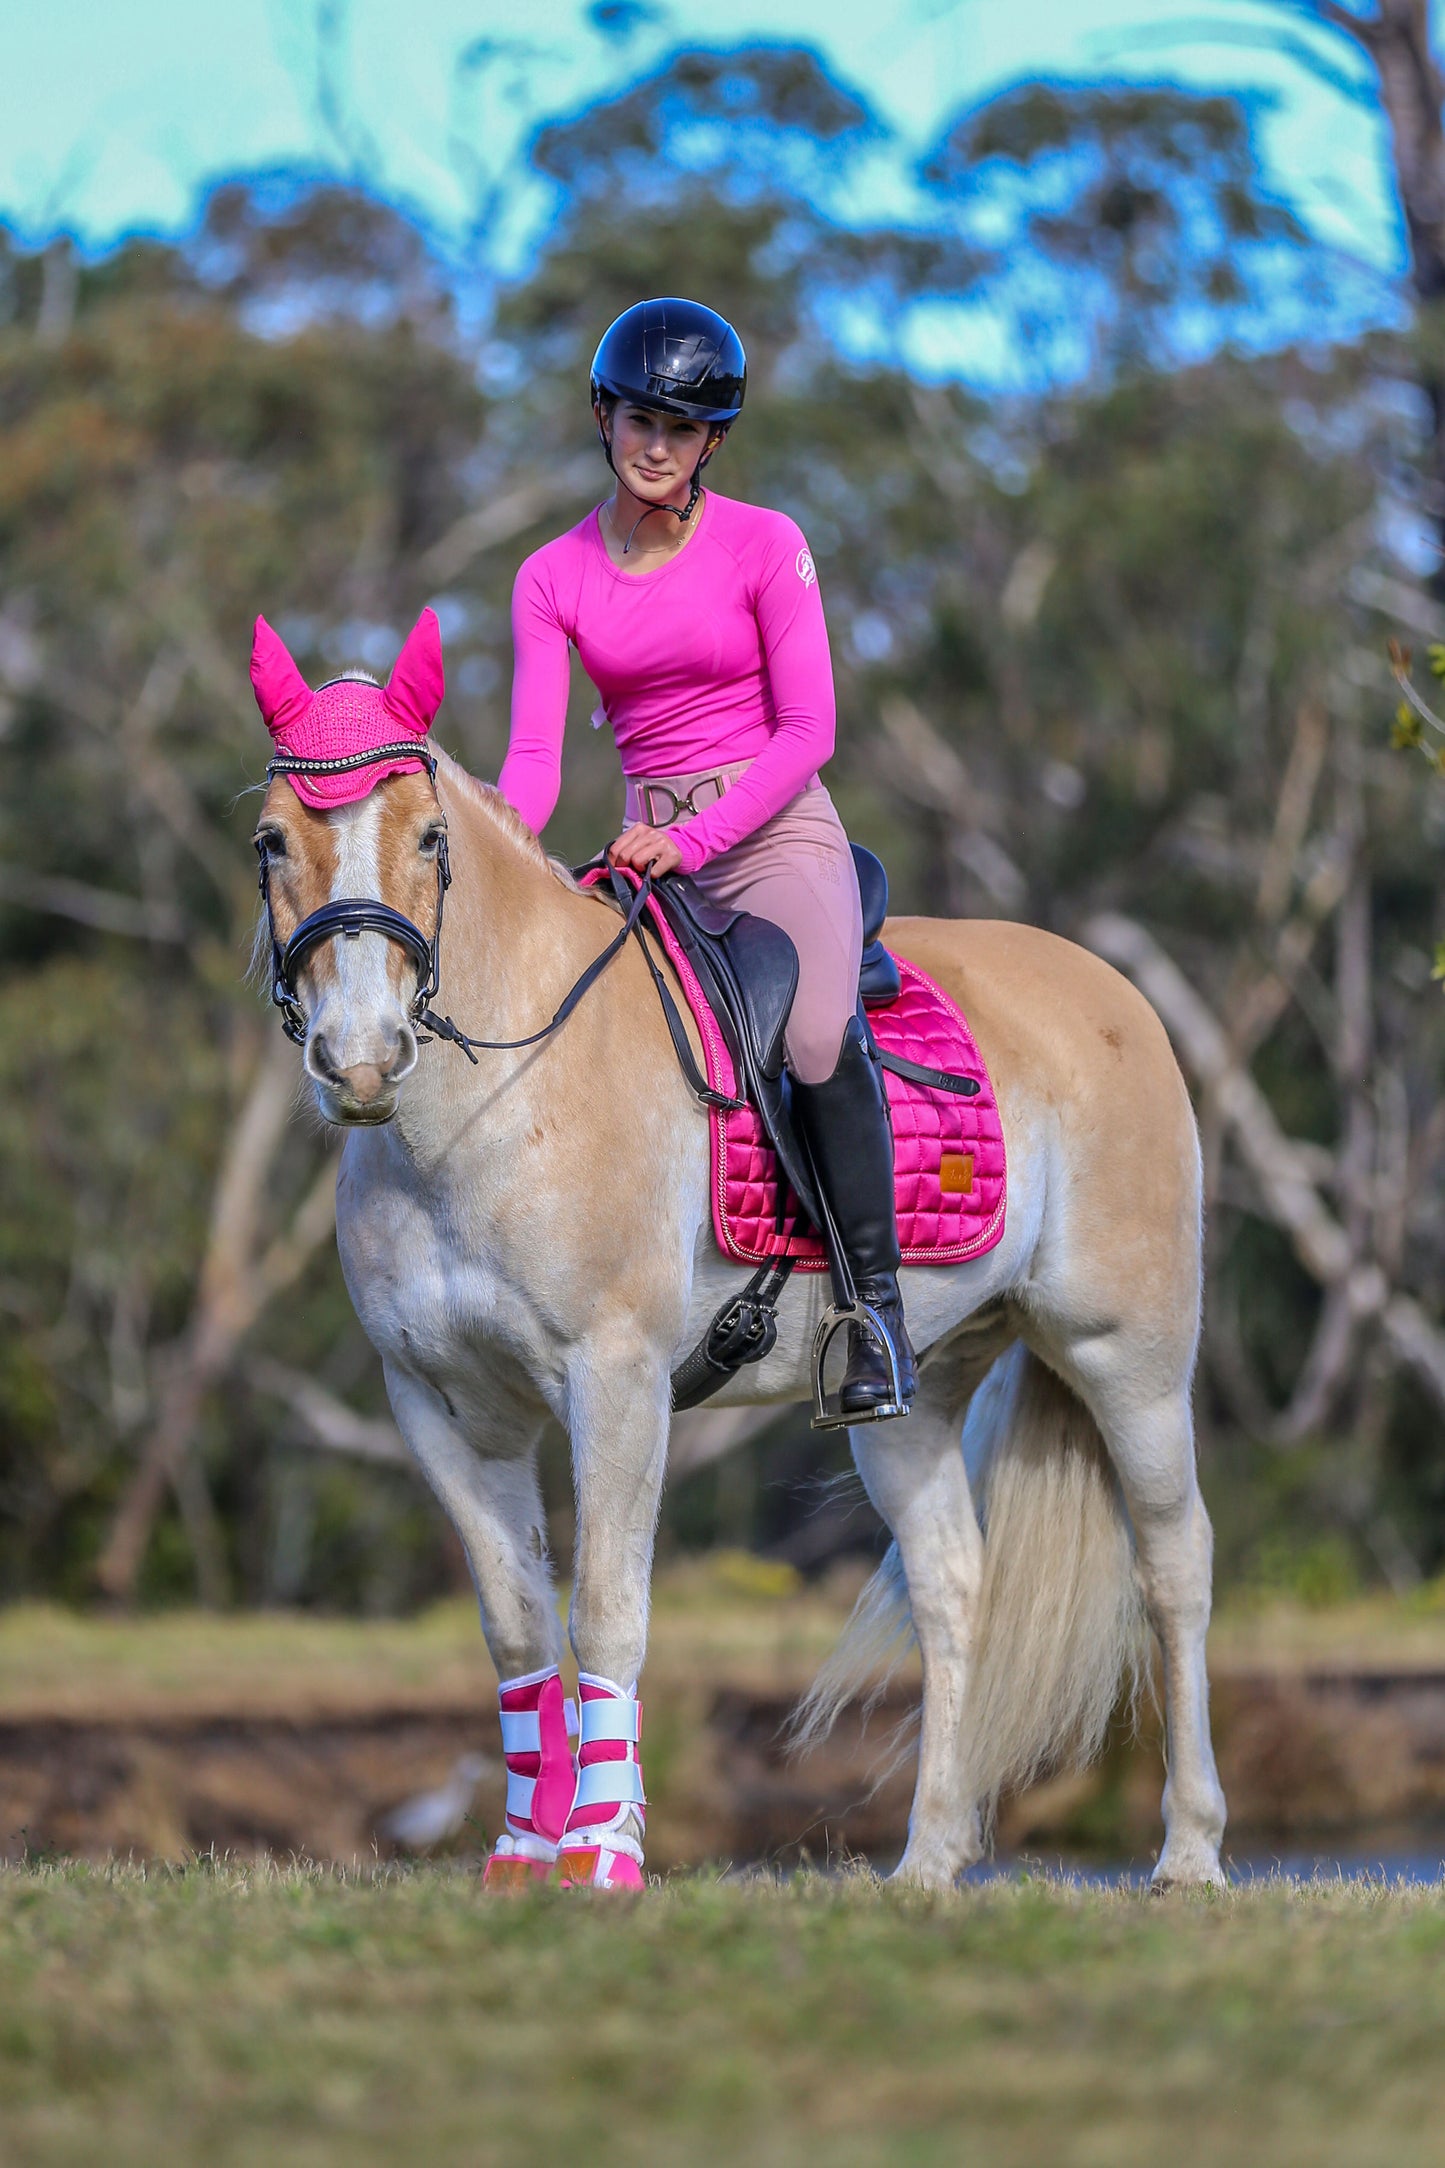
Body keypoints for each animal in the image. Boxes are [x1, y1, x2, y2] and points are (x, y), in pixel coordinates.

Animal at [254, 741, 1230, 1881]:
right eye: (272, 840)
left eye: (429, 837)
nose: (359, 1057)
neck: (483, 1114)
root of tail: (1110, 989)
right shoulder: (440, 1406)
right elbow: (516, 1628)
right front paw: (524, 1851)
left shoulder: (616, 1380)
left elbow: (607, 1612)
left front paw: (600, 1850)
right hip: (910, 1394)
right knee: (951, 1585)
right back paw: (928, 1861)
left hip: (1127, 1359)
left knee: (1173, 1565)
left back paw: (1188, 1853)